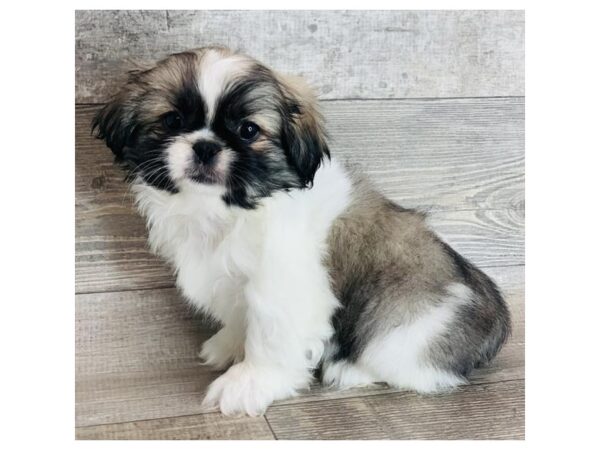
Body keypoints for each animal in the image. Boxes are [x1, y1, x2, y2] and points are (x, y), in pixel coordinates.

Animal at [92, 47, 510, 416]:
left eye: (248, 130)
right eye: (173, 121)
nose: (206, 146)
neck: (228, 211)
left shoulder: (282, 289)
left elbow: (269, 340)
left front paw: (247, 383)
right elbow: (240, 319)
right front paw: (229, 345)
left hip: (400, 329)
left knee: (419, 372)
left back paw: (351, 371)